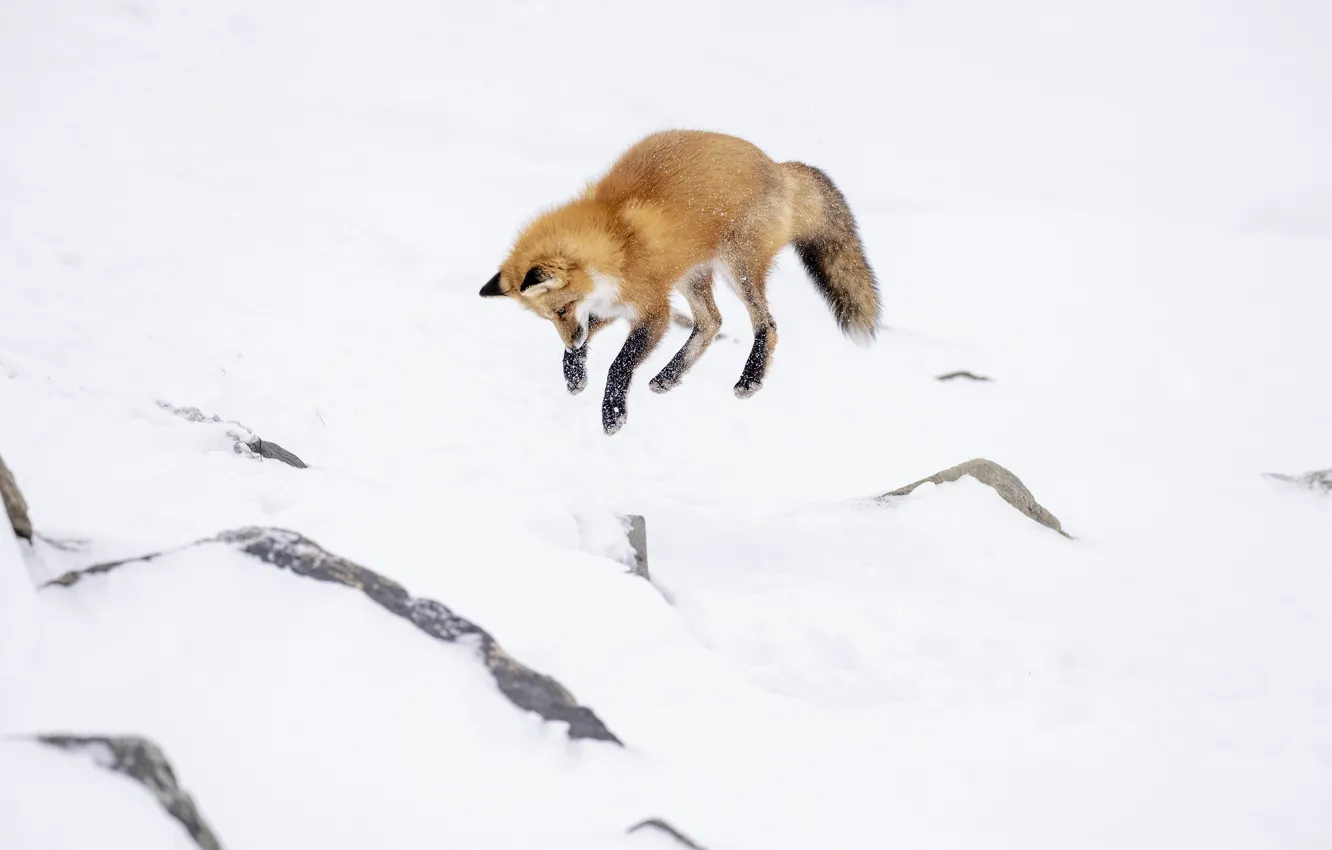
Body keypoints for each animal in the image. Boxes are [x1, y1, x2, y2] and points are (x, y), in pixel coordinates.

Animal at [479, 129, 881, 435]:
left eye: (562, 308)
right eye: (549, 317)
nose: (572, 338)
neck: (616, 238)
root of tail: (778, 167)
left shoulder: (653, 308)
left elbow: (619, 365)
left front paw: (613, 412)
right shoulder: (611, 305)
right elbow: (580, 344)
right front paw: (574, 371)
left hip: (738, 268)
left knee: (766, 324)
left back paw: (749, 379)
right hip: (692, 276)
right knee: (712, 322)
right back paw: (669, 376)